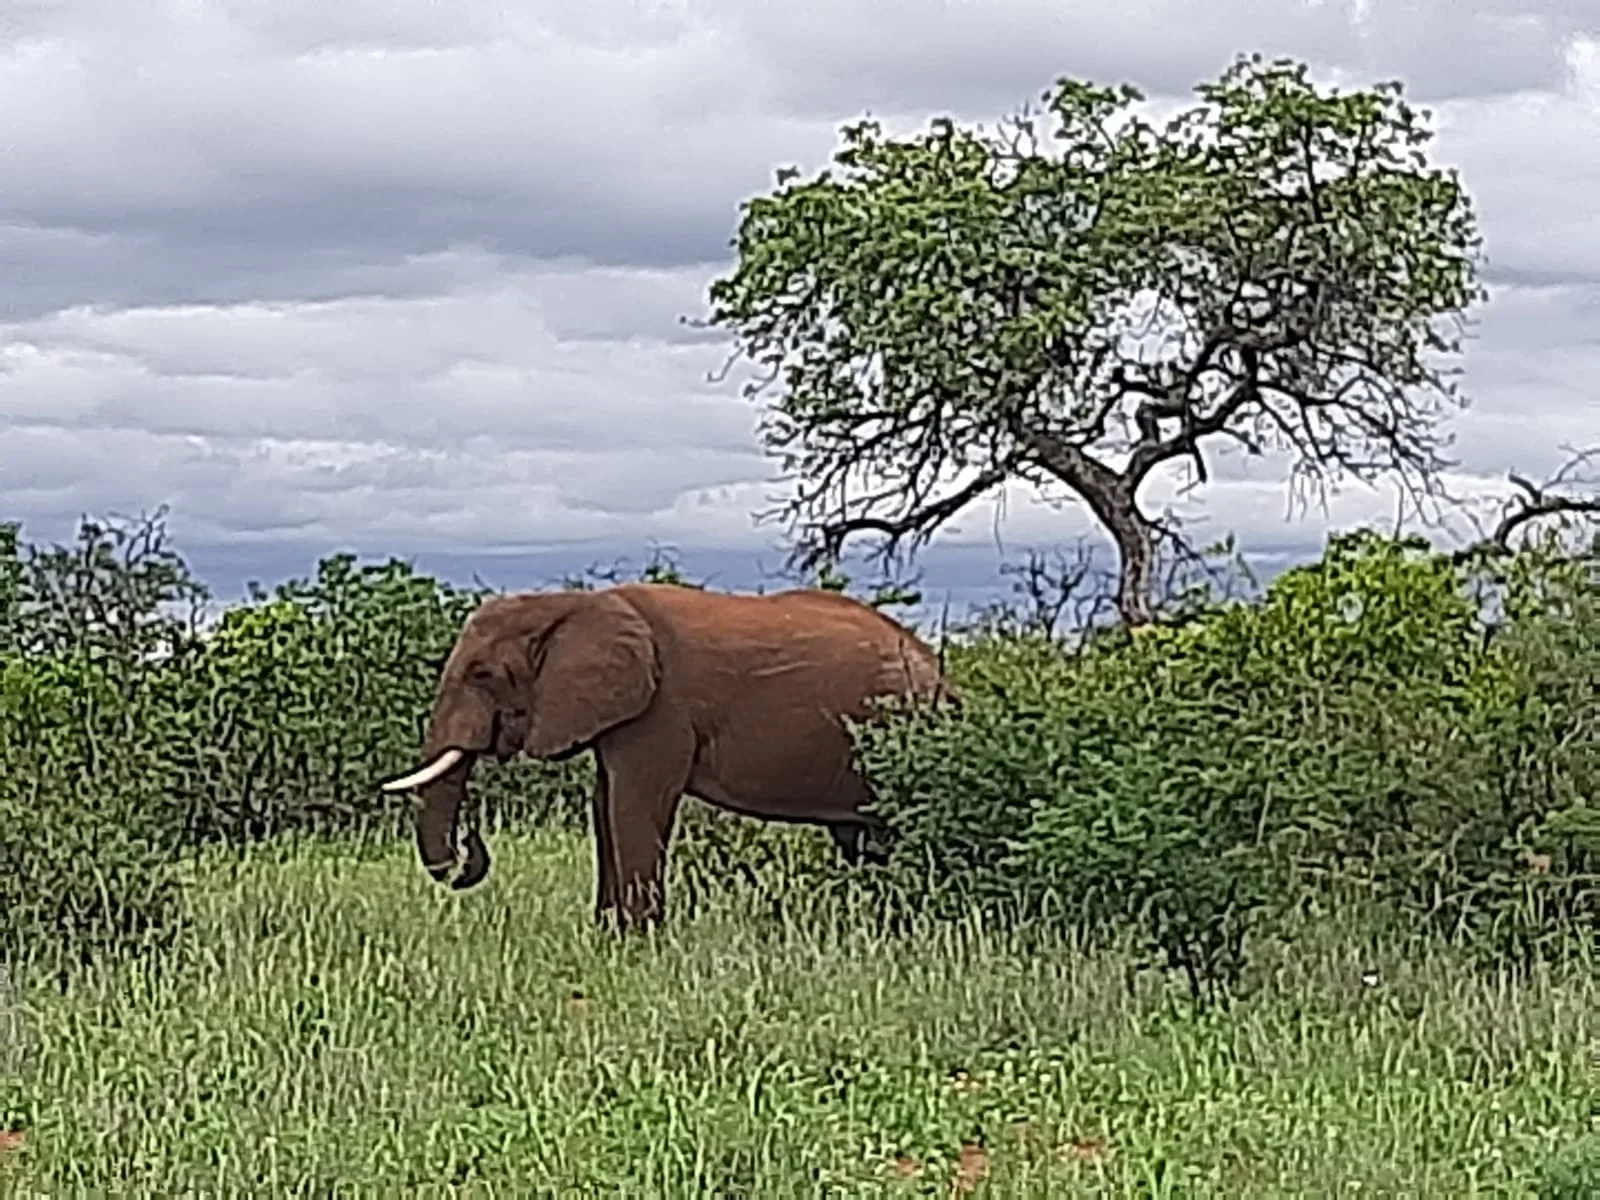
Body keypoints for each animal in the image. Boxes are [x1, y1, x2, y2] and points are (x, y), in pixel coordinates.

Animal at [380, 582, 958, 929]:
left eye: (482, 674)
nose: (472, 843)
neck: (571, 604)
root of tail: (941, 674)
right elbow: (604, 807)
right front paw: (607, 934)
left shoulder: (660, 710)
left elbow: (635, 805)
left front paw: (637, 941)